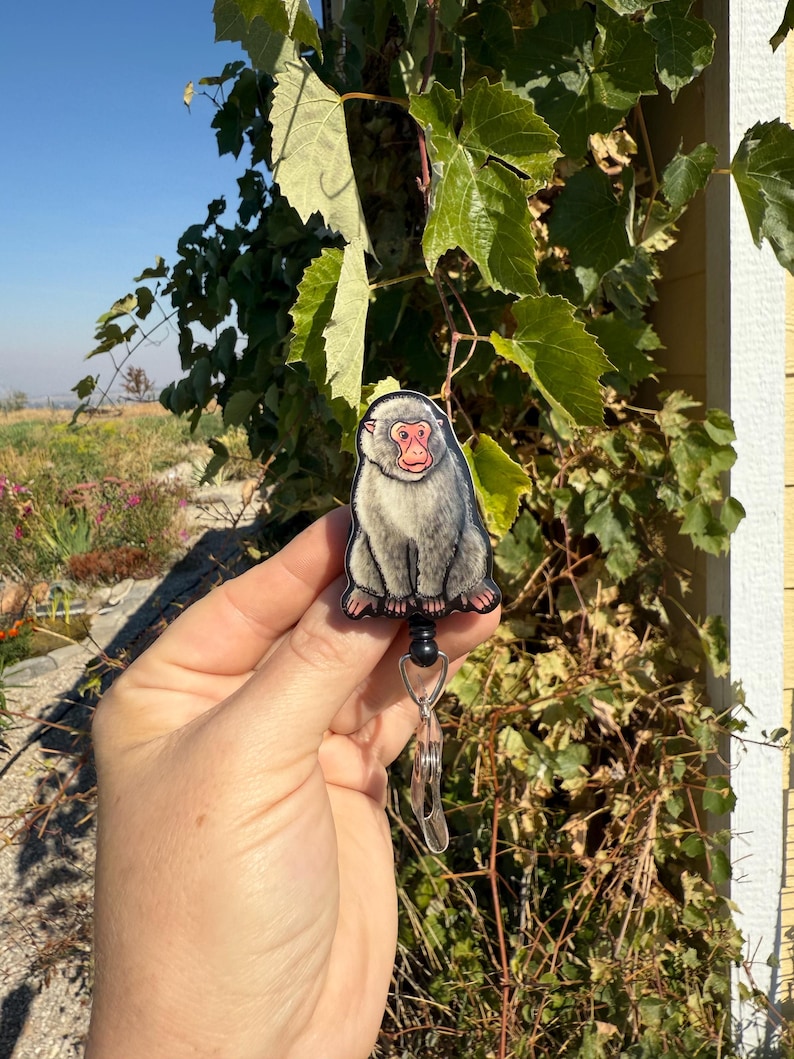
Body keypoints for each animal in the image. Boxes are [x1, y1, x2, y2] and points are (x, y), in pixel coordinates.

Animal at [341, 390, 501, 620]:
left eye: (421, 432)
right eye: (403, 435)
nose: (418, 452)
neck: (407, 480)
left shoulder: (444, 478)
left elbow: (438, 539)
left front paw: (431, 599)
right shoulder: (368, 482)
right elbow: (386, 542)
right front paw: (400, 600)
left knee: (471, 541)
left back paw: (474, 592)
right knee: (361, 545)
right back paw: (365, 595)